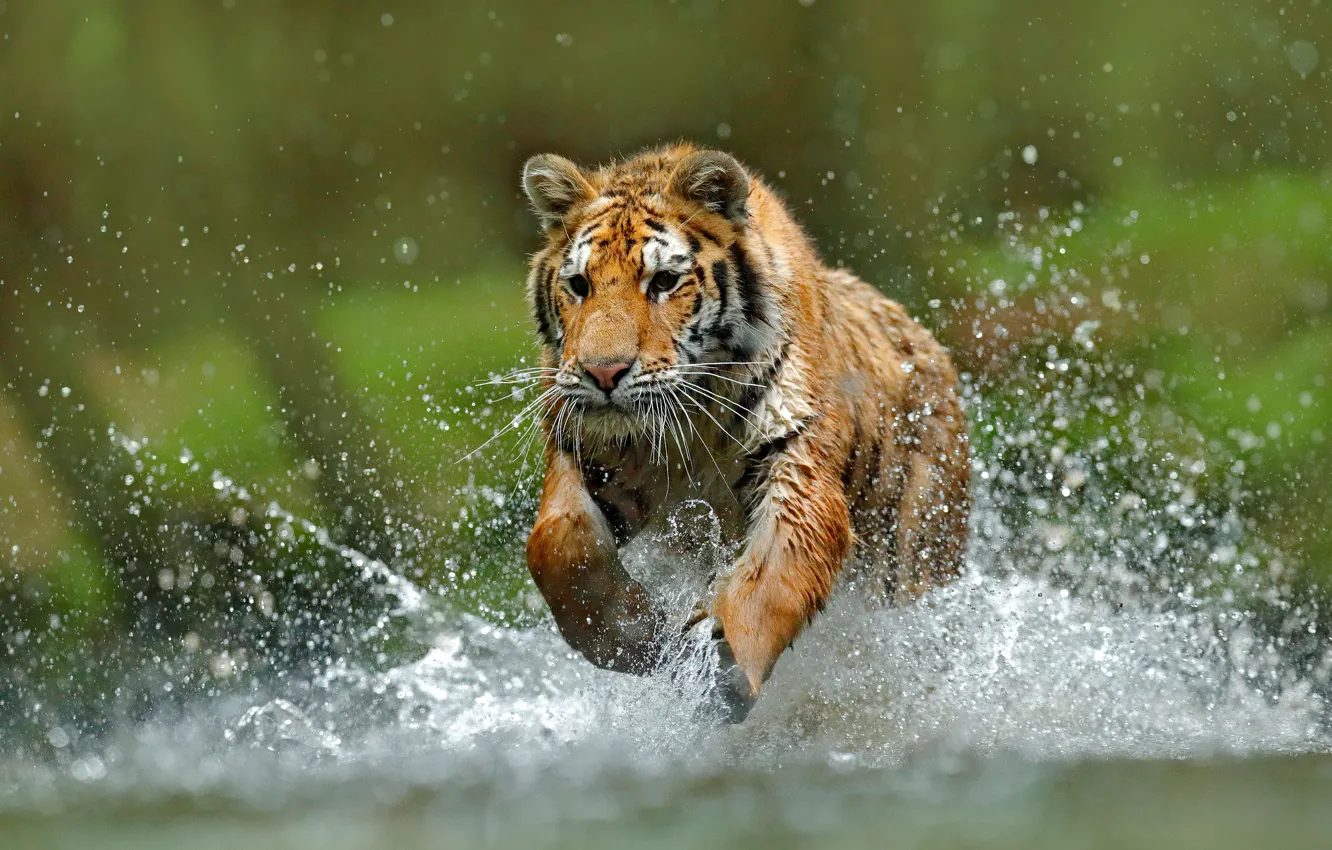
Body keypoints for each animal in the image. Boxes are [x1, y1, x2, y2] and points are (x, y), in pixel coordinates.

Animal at [519, 143, 970, 723]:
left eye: (663, 282)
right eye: (579, 285)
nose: (603, 373)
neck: (686, 422)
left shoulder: (796, 463)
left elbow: (772, 574)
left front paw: (720, 665)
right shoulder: (582, 448)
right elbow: (556, 544)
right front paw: (639, 637)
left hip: (919, 551)